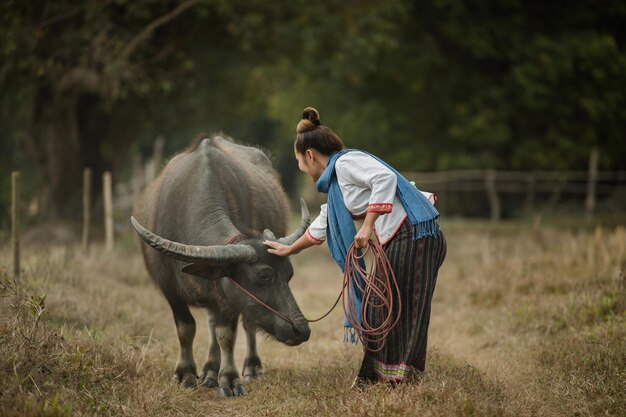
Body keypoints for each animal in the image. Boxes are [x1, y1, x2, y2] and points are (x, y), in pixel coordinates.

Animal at [131, 135, 310, 394]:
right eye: (263, 276)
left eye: (289, 275)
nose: (301, 329)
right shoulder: (170, 290)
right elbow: (186, 328)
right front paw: (185, 373)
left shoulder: (229, 297)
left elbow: (226, 335)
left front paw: (229, 379)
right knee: (211, 322)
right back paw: (208, 372)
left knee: (246, 324)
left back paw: (248, 368)